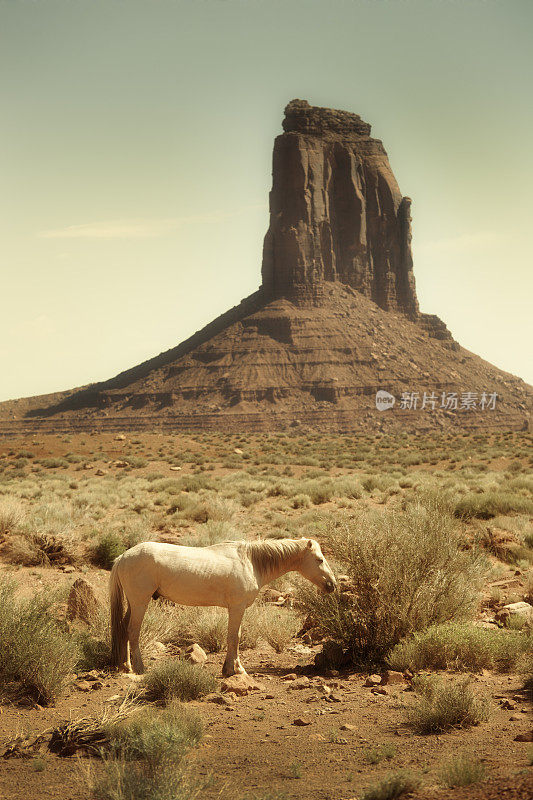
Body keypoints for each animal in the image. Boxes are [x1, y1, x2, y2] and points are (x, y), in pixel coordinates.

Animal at [109, 536, 334, 676]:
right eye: (319, 559)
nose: (332, 584)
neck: (251, 562)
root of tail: (122, 557)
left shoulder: (238, 609)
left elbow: (235, 637)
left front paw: (230, 668)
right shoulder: (237, 608)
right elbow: (234, 638)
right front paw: (236, 669)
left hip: (133, 603)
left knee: (123, 628)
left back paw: (126, 666)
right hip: (140, 601)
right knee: (133, 631)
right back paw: (139, 668)